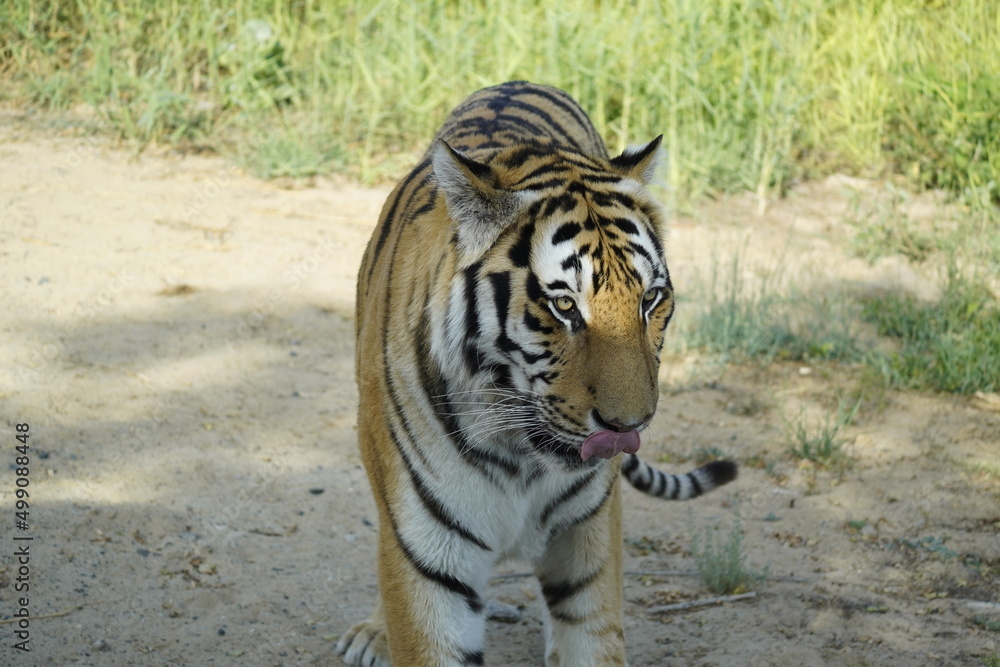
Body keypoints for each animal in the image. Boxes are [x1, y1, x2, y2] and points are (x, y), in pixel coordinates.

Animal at [337, 81, 737, 667]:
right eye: (564, 305)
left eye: (650, 300)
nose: (630, 427)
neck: (520, 458)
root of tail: (519, 82)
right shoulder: (429, 562)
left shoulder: (589, 543)